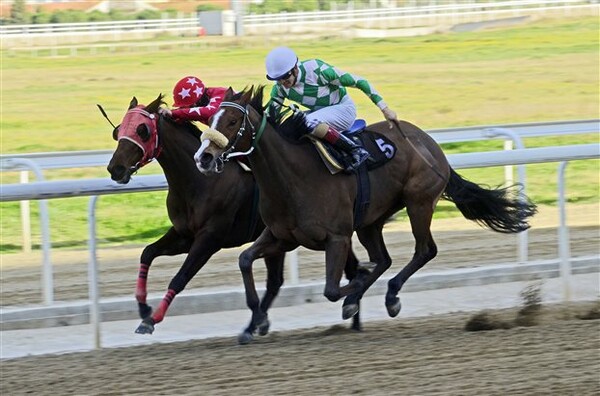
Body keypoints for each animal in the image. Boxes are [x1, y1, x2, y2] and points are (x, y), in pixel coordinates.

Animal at [105, 94, 364, 338]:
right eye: (119, 130)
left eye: (143, 130)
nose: (115, 168)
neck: (198, 181)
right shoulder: (184, 234)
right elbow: (148, 252)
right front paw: (143, 308)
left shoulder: (210, 238)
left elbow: (180, 278)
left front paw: (151, 319)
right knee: (285, 280)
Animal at [195, 86, 536, 344]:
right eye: (210, 118)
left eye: (232, 120)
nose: (204, 157)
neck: (292, 177)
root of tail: (429, 144)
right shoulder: (282, 236)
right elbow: (245, 259)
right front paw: (253, 323)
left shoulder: (336, 238)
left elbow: (332, 289)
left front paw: (353, 293)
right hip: (371, 220)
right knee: (384, 258)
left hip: (419, 202)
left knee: (425, 250)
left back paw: (389, 296)